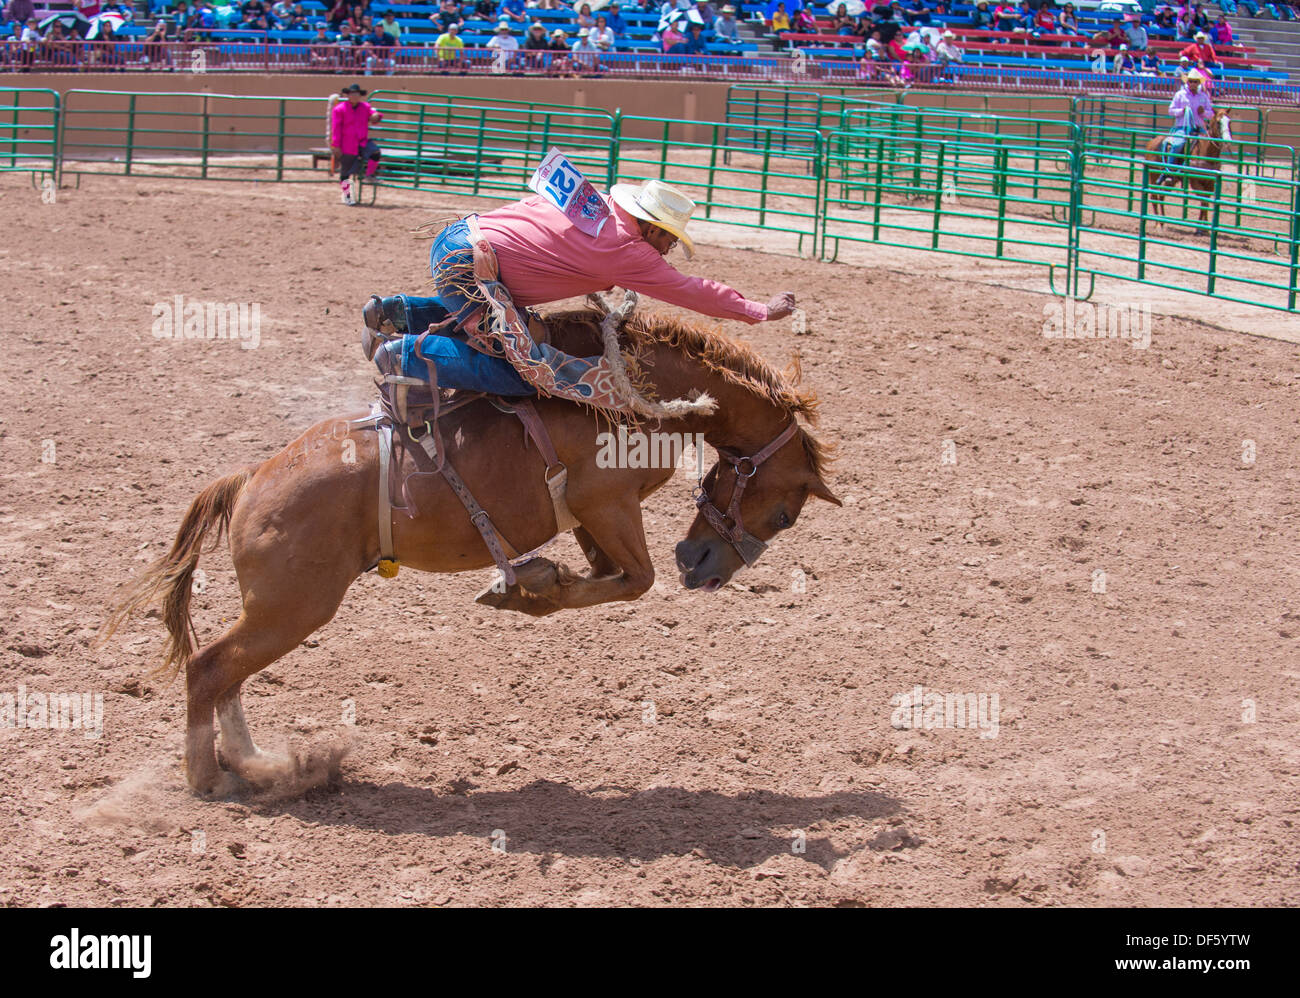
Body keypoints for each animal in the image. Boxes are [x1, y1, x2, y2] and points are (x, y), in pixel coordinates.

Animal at [103, 309, 842, 795]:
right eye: (783, 513)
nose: (705, 569)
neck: (639, 391)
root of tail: (250, 479)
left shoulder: (591, 516)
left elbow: (611, 574)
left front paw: (532, 582)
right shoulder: (607, 502)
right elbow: (635, 579)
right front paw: (523, 587)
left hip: (278, 610)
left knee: (225, 673)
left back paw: (254, 764)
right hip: (292, 606)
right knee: (208, 668)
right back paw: (207, 778)